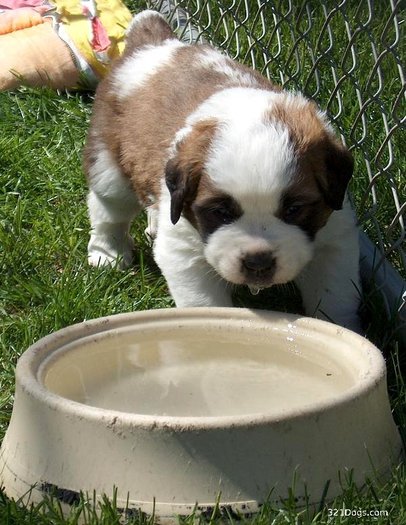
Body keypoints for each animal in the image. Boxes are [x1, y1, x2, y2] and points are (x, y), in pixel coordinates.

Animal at [83, 9, 362, 332]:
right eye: (220, 212)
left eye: (294, 209)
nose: (258, 262)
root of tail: (155, 44)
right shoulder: (182, 250)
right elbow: (204, 303)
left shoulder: (335, 238)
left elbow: (334, 297)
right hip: (109, 164)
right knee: (108, 210)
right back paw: (108, 253)